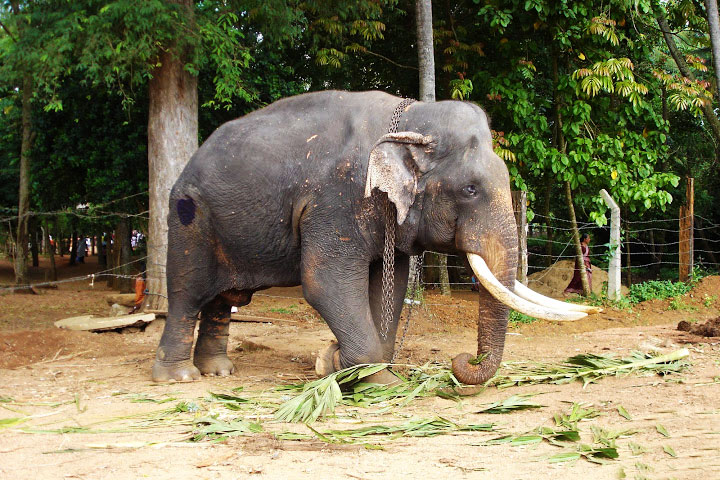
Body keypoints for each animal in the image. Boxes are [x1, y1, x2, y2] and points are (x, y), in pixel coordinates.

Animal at [152, 89, 596, 382]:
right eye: (470, 189)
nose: (462, 361)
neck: (413, 115)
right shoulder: (334, 199)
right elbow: (325, 282)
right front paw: (375, 379)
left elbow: (391, 285)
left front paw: (339, 365)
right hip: (189, 222)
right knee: (187, 293)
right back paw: (179, 377)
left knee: (221, 301)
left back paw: (219, 371)